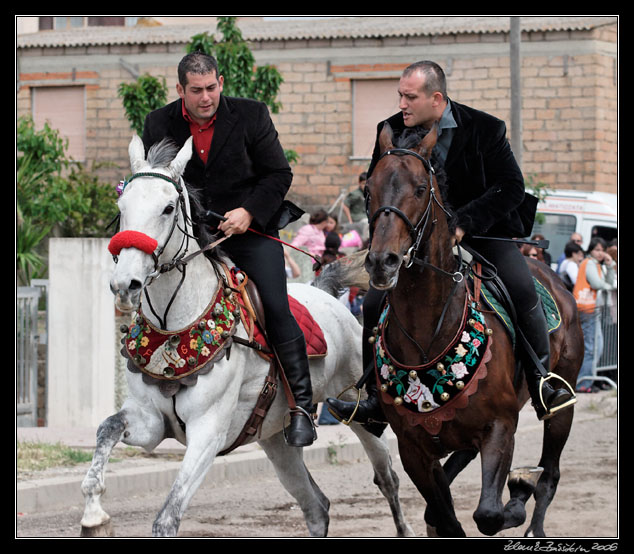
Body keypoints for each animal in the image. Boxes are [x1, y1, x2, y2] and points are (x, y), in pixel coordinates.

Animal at [79, 135, 412, 536]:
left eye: (168, 208)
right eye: (121, 206)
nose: (125, 284)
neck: (175, 328)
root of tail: (326, 293)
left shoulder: (208, 432)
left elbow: (167, 517)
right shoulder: (149, 423)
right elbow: (106, 429)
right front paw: (93, 513)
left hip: (360, 412)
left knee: (388, 478)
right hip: (276, 439)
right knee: (316, 506)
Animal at [362, 122, 580, 536]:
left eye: (420, 188)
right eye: (369, 189)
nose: (383, 261)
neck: (428, 335)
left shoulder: (500, 427)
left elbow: (489, 514)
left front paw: (518, 489)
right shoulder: (413, 449)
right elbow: (445, 516)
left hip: (560, 407)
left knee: (551, 475)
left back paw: (533, 511)